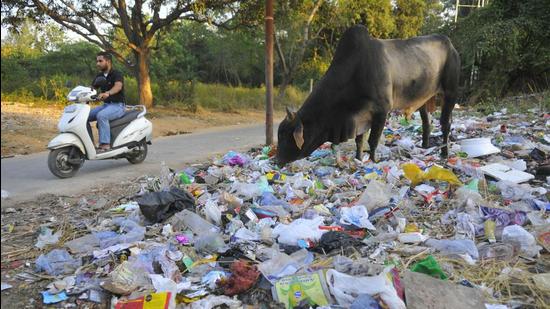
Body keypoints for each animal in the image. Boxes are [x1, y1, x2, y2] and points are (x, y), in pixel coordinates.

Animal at [276, 25, 462, 165]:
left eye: (285, 136)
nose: (277, 161)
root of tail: (449, 43)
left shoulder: (381, 111)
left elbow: (372, 140)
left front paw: (372, 161)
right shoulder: (359, 116)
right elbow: (359, 140)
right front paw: (358, 158)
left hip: (451, 93)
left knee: (445, 124)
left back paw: (444, 153)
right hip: (424, 99)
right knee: (426, 123)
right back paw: (424, 147)